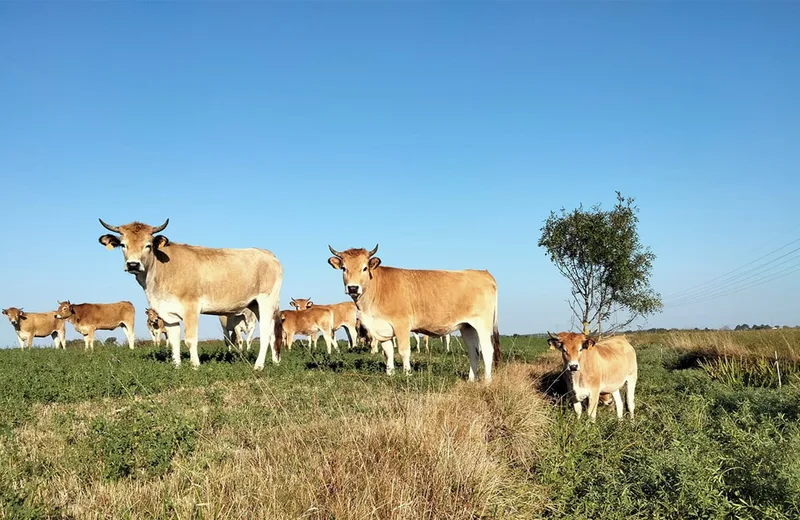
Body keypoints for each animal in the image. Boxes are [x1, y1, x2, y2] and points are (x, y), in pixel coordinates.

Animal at [324, 244, 500, 382]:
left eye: (364, 268)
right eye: (344, 268)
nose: (353, 288)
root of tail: (483, 273)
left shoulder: (401, 324)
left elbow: (403, 351)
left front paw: (407, 375)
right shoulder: (383, 329)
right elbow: (388, 352)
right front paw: (390, 374)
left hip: (483, 324)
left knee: (487, 350)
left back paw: (487, 381)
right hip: (467, 326)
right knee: (474, 352)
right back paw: (471, 380)